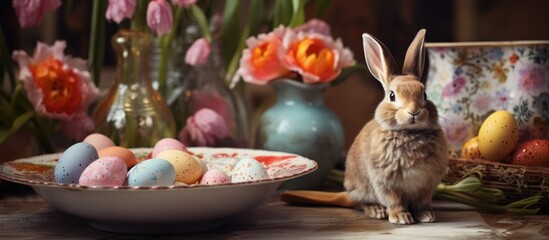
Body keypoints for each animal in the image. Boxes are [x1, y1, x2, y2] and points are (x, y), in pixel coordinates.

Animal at [344, 29, 448, 225]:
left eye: (424, 94)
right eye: (392, 95)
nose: (414, 111)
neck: (409, 133)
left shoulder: (426, 183)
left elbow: (422, 202)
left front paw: (427, 215)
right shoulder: (386, 182)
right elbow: (395, 201)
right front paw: (401, 217)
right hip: (361, 189)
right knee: (361, 203)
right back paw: (377, 211)